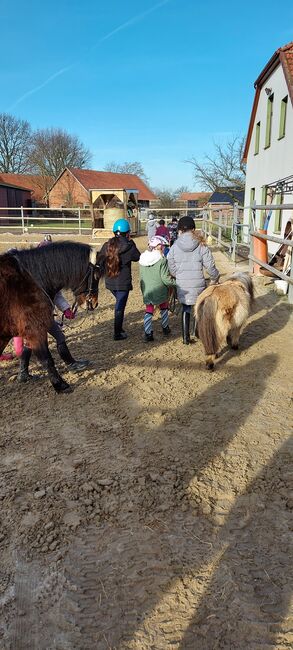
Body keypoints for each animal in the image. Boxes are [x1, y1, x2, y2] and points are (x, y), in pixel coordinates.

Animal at [0, 242, 100, 392]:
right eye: (96, 276)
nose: (94, 303)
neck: (31, 280)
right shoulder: (35, 330)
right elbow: (46, 358)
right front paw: (60, 384)